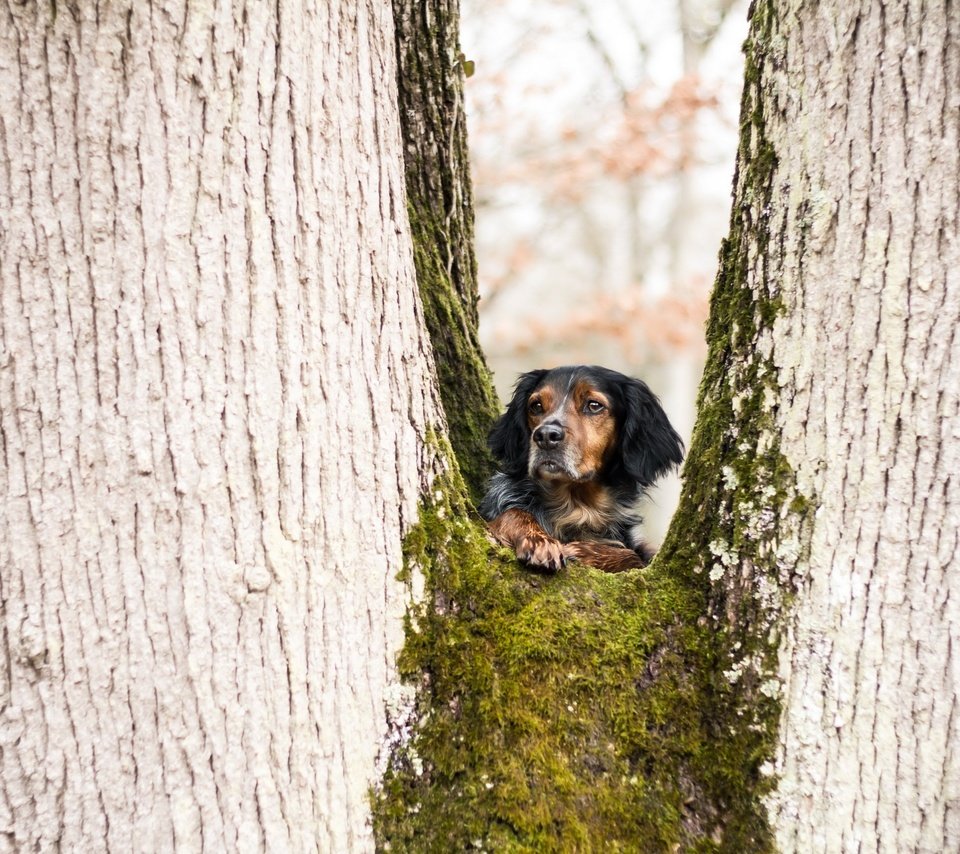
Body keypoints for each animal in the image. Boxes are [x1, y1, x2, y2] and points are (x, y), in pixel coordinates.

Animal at [480, 366, 684, 576]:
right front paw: (539, 542)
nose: (545, 435)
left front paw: (583, 551)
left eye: (594, 405)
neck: (576, 506)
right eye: (536, 406)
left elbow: (633, 557)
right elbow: (513, 513)